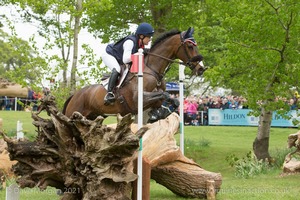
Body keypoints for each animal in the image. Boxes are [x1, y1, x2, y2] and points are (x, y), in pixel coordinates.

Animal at [62, 26, 205, 120]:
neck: (152, 69)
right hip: (73, 115)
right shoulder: (139, 98)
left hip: (92, 117)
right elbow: (164, 94)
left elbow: (170, 99)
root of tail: (75, 95)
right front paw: (160, 113)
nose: (201, 69)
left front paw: (158, 114)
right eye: (190, 46)